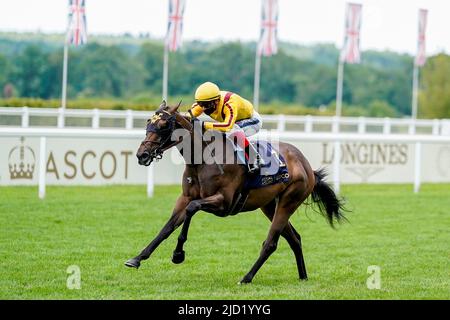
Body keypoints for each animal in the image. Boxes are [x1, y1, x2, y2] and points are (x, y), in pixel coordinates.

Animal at [123, 102, 344, 282]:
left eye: (163, 125)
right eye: (148, 123)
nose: (142, 155)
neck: (203, 159)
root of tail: (306, 165)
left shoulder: (224, 203)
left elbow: (192, 209)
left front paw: (178, 254)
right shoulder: (185, 198)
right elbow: (167, 227)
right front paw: (137, 258)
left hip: (289, 200)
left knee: (271, 242)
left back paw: (247, 277)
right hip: (269, 205)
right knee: (294, 238)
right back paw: (303, 276)